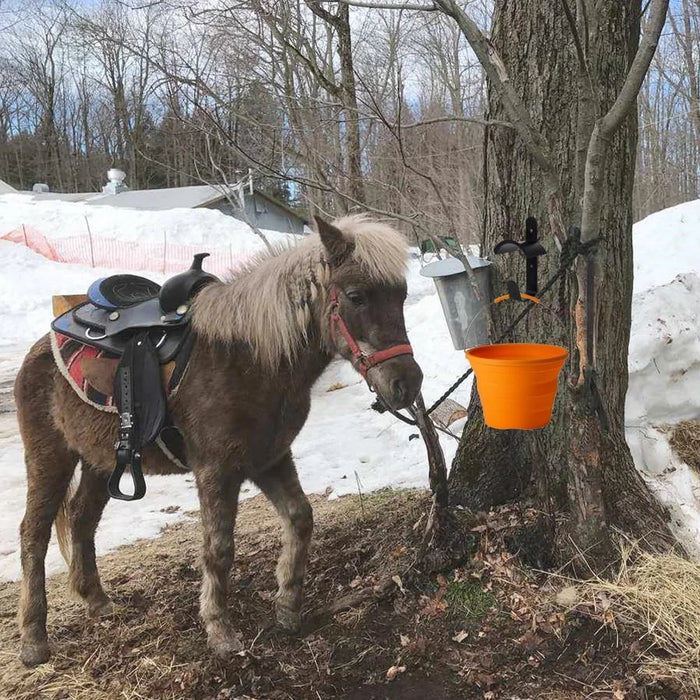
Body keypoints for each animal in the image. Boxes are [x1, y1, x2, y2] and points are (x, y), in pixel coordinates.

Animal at [14, 214, 423, 666]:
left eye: (402, 296)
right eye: (356, 296)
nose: (407, 384)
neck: (252, 358)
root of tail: (41, 346)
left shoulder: (271, 458)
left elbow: (300, 519)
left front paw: (287, 608)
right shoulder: (216, 470)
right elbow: (219, 549)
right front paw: (220, 631)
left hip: (101, 462)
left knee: (82, 520)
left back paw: (98, 602)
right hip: (50, 456)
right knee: (33, 534)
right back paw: (33, 638)